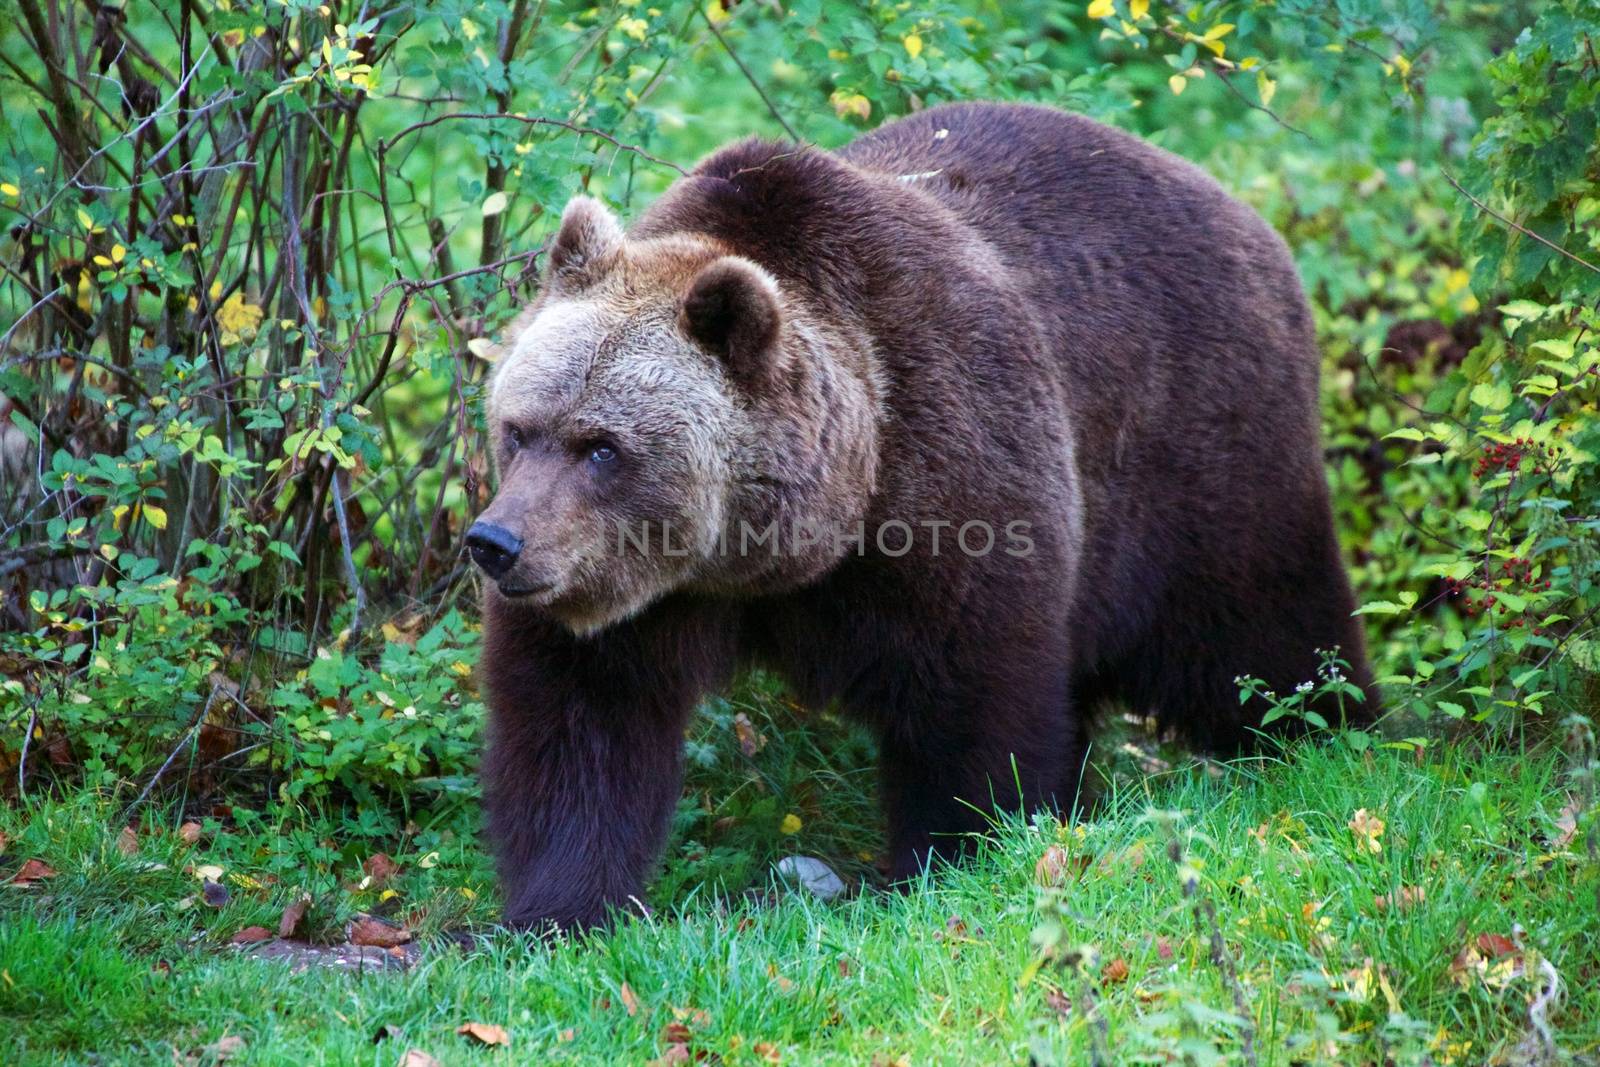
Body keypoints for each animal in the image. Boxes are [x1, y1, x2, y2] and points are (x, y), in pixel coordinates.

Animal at [467, 103, 1376, 927]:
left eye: (601, 446)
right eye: (518, 428)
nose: (495, 543)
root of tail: (1248, 217)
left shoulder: (951, 479)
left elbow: (973, 697)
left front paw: (952, 856)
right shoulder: (636, 594)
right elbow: (581, 721)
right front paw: (555, 908)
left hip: (1201, 460)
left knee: (1263, 635)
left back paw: (1336, 736)